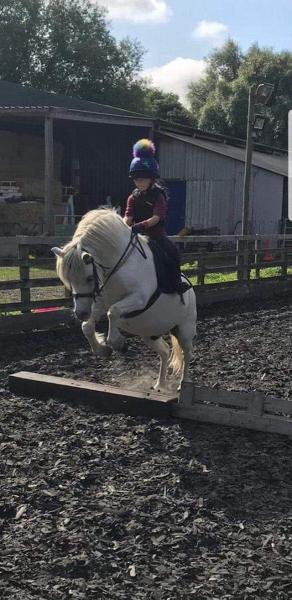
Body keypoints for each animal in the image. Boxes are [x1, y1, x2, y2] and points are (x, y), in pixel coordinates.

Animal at [52, 209, 196, 392]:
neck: (120, 266)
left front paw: (117, 344)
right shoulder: (99, 303)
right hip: (150, 334)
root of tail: (191, 291)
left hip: (184, 330)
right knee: (164, 351)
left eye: (89, 278)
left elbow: (112, 312)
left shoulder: (138, 299)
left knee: (187, 354)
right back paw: (160, 384)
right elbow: (87, 326)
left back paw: (183, 384)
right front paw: (102, 349)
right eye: (68, 280)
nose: (81, 313)